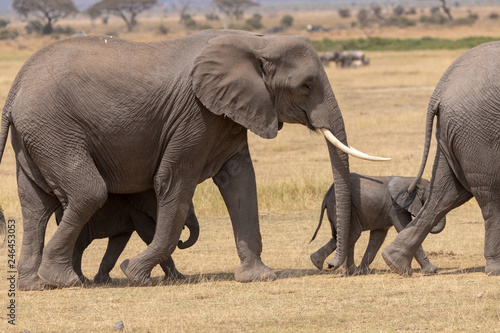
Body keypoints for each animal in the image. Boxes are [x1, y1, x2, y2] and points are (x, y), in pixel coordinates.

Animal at [0, 29, 388, 288]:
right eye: (306, 86)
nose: (333, 267)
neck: (257, 42)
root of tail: (17, 84)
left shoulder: (228, 113)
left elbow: (240, 182)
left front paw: (257, 276)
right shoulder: (194, 114)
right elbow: (173, 183)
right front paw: (135, 273)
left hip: (36, 135)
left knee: (35, 205)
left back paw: (34, 284)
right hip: (54, 128)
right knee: (87, 192)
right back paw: (63, 280)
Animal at [310, 172, 448, 274]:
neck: (409, 179)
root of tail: (327, 195)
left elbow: (377, 238)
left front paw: (364, 271)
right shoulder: (395, 206)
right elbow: (404, 228)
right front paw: (432, 270)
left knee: (340, 236)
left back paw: (317, 262)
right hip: (343, 209)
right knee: (353, 234)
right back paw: (350, 272)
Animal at [382, 40, 500, 274]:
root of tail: (441, 89)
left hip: (458, 131)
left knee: (446, 194)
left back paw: (394, 262)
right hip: (478, 131)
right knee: (490, 196)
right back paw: (495, 269)